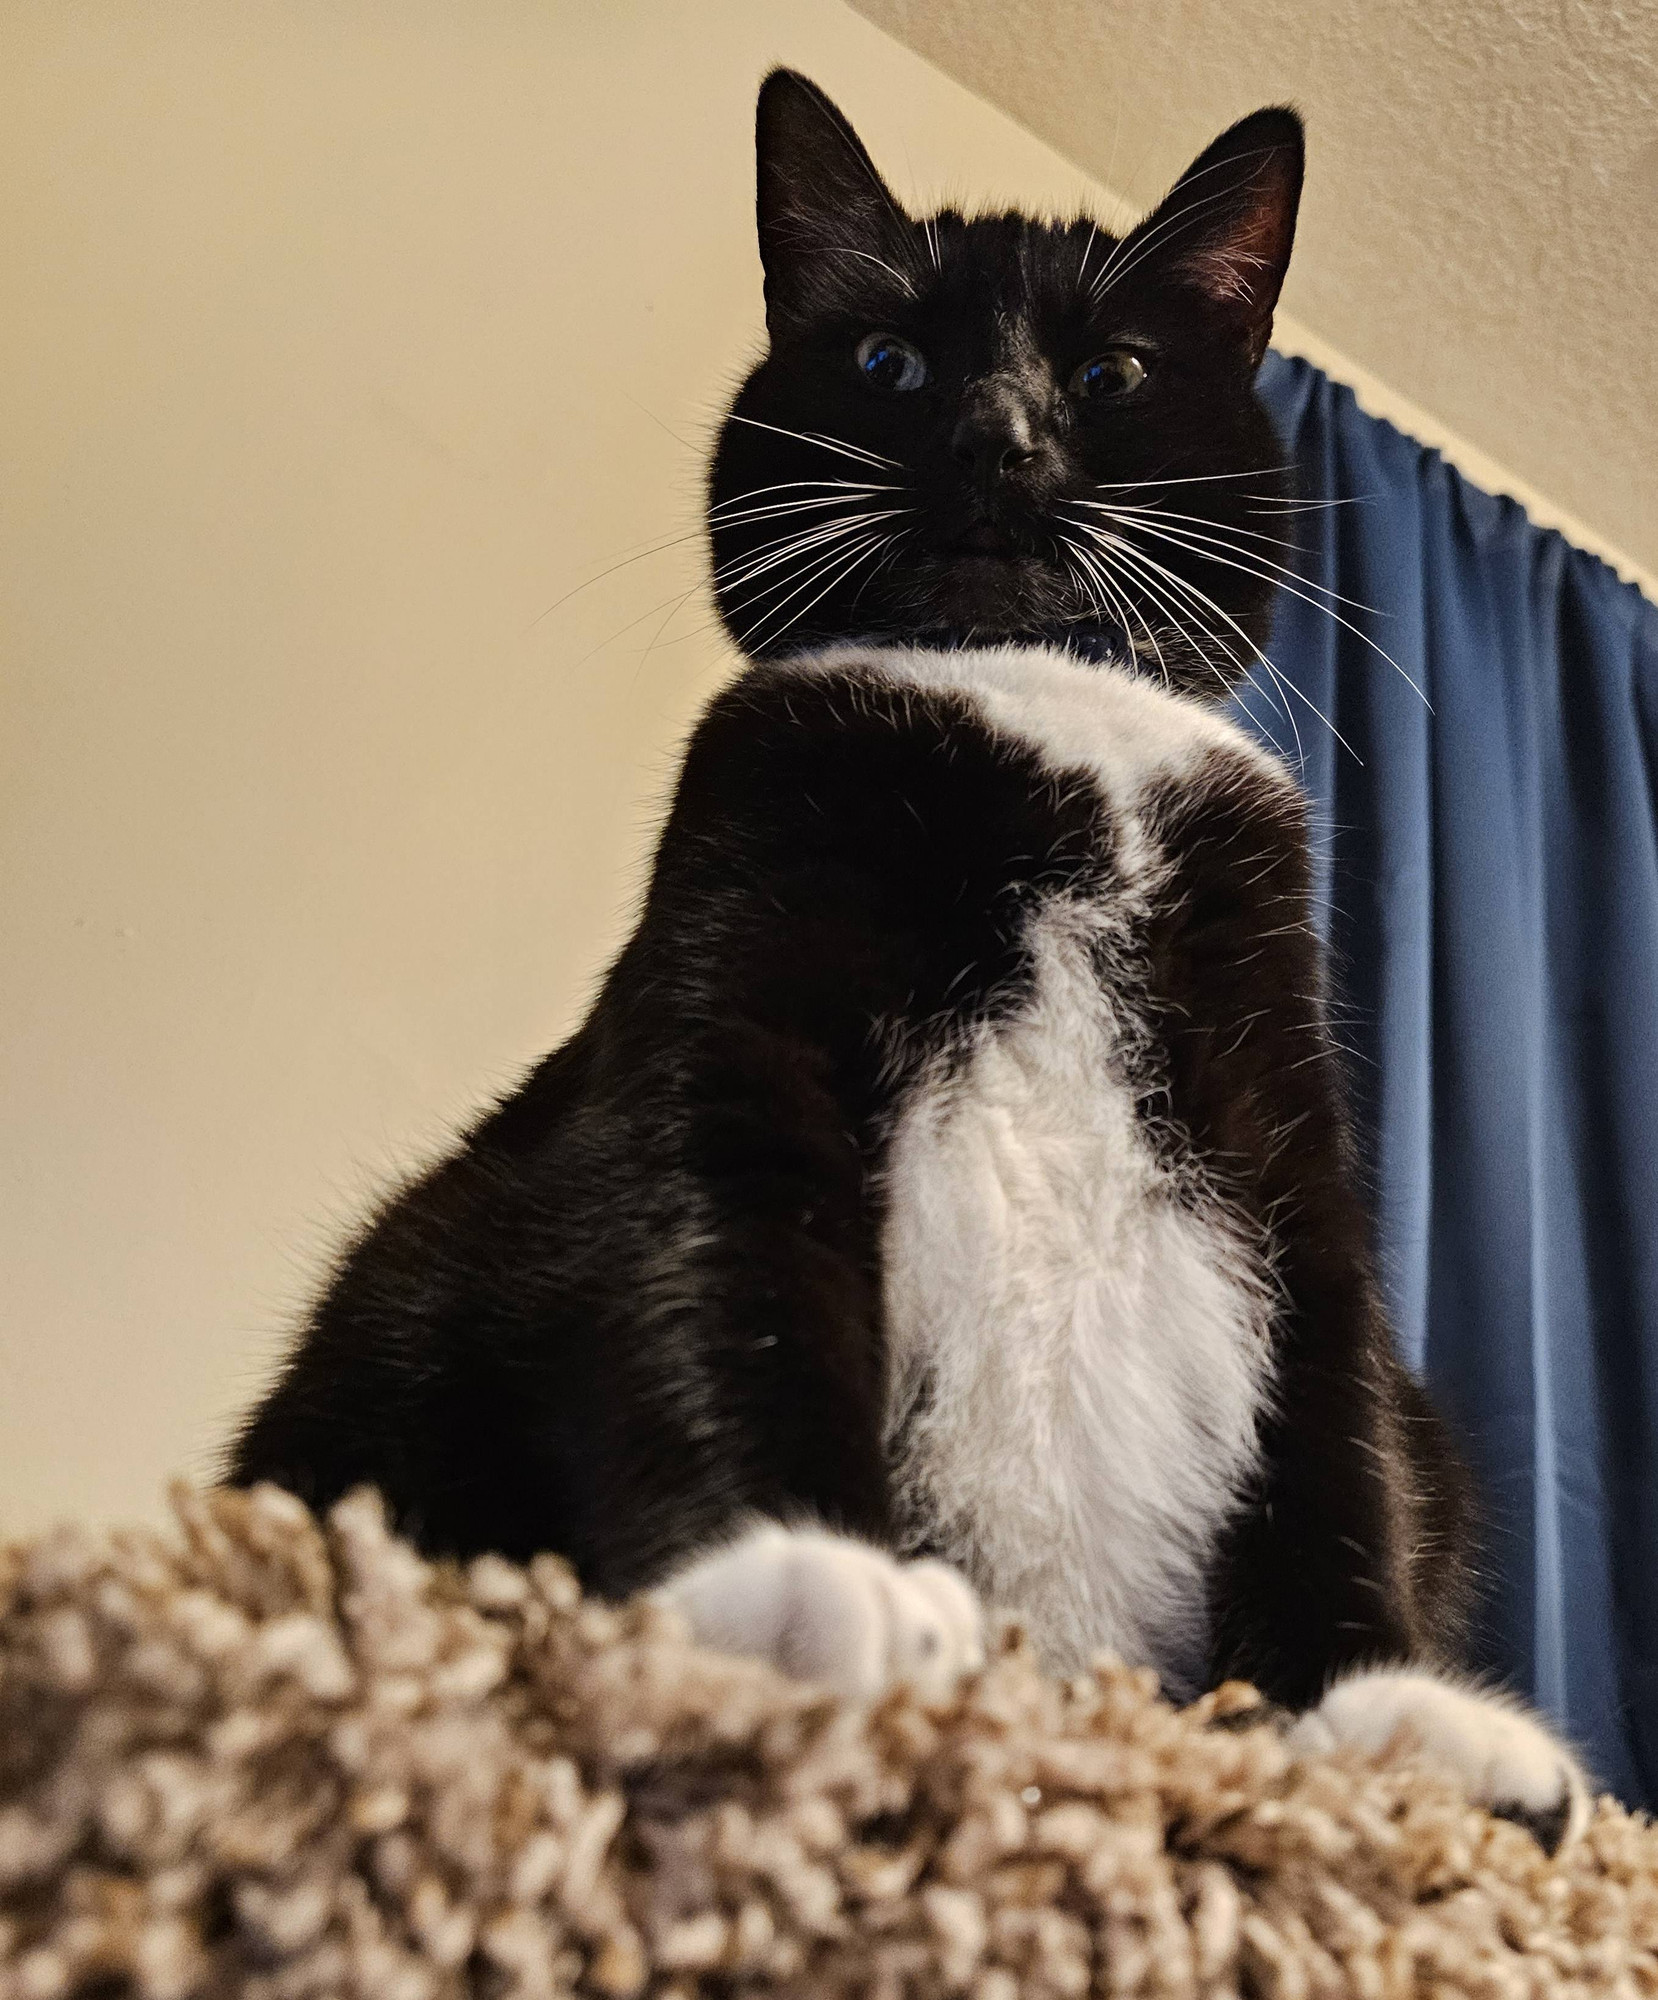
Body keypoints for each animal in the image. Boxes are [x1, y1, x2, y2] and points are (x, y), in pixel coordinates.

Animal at [226, 70, 1584, 1840]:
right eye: (890, 363)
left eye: (1107, 371)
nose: (997, 433)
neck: (1032, 712)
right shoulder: (737, 961)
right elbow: (709, 1236)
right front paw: (787, 1579)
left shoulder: (1279, 1086)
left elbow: (1336, 1400)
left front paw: (1380, 1716)